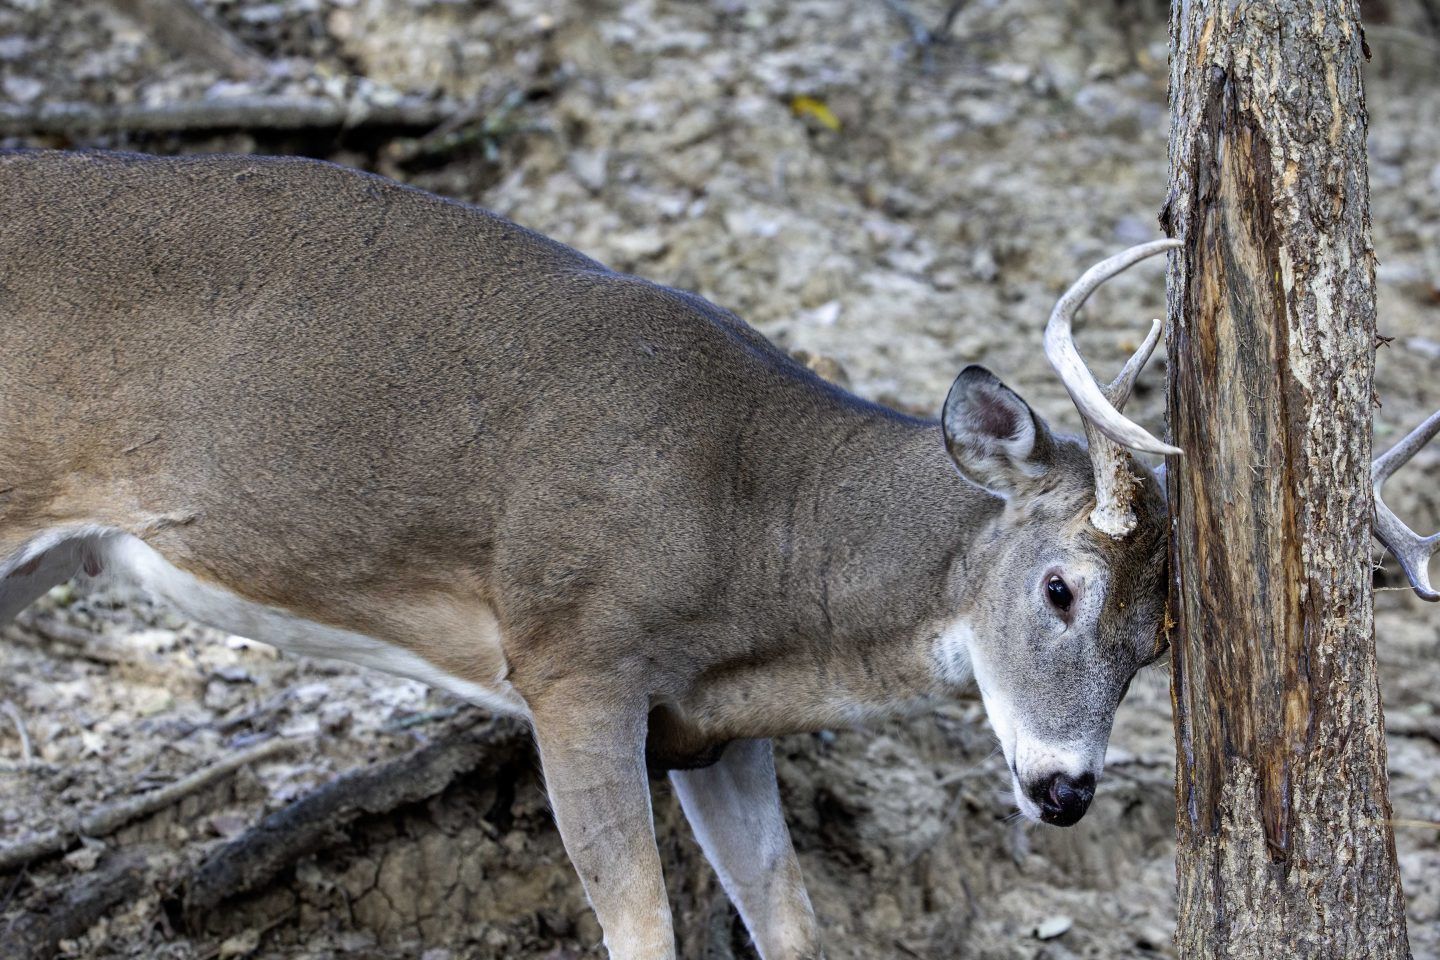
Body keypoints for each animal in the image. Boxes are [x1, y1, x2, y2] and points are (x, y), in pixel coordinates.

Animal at [1, 149, 1435, 960]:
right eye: (1059, 586)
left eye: (1158, 645)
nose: (1067, 790)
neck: (755, 540)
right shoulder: (573, 655)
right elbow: (641, 924)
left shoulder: (713, 727)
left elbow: (787, 920)